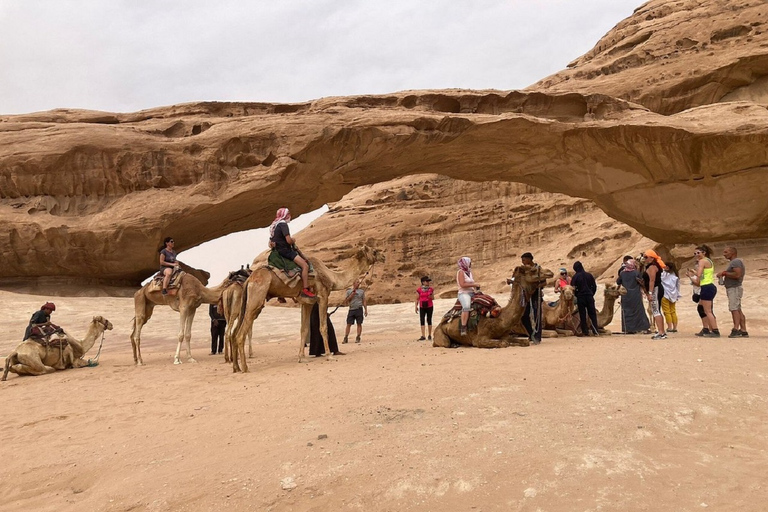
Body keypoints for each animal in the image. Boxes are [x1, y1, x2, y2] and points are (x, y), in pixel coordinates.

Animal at [230, 244, 382, 372]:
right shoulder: (322, 296)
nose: (383, 256)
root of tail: (249, 280)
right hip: (256, 298)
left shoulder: (306, 303)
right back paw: (245, 368)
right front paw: (329, 355)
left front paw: (301, 358)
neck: (332, 277)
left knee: (235, 333)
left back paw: (236, 367)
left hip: (248, 301)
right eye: (374, 251)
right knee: (240, 334)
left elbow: (304, 329)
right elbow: (323, 327)